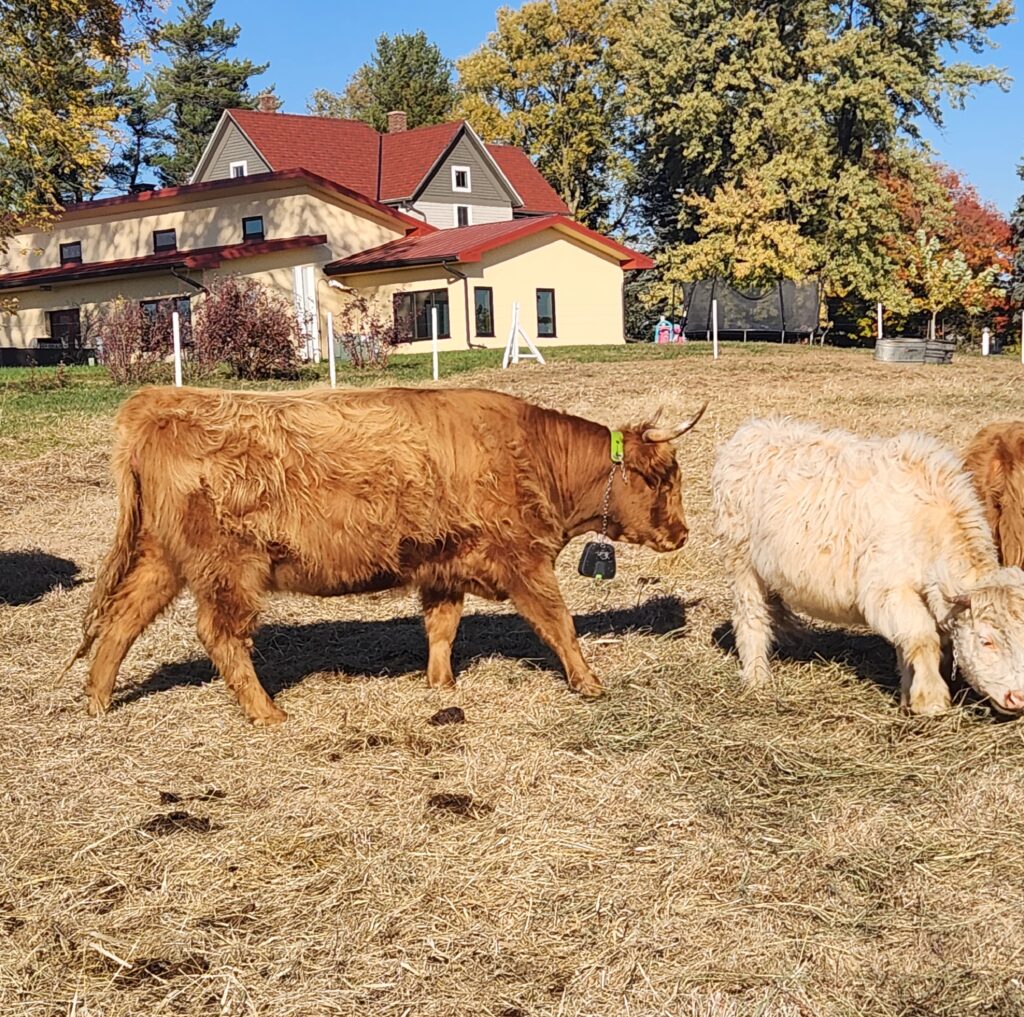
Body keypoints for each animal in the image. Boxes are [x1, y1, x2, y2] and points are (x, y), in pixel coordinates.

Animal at [66, 386, 706, 725]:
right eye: (664, 480)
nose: (682, 533)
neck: (534, 455)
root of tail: (158, 401)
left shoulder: (444, 565)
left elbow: (443, 627)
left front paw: (441, 686)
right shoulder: (524, 560)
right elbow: (559, 624)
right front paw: (590, 682)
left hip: (162, 558)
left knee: (121, 620)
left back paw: (98, 701)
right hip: (227, 568)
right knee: (219, 633)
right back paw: (267, 712)